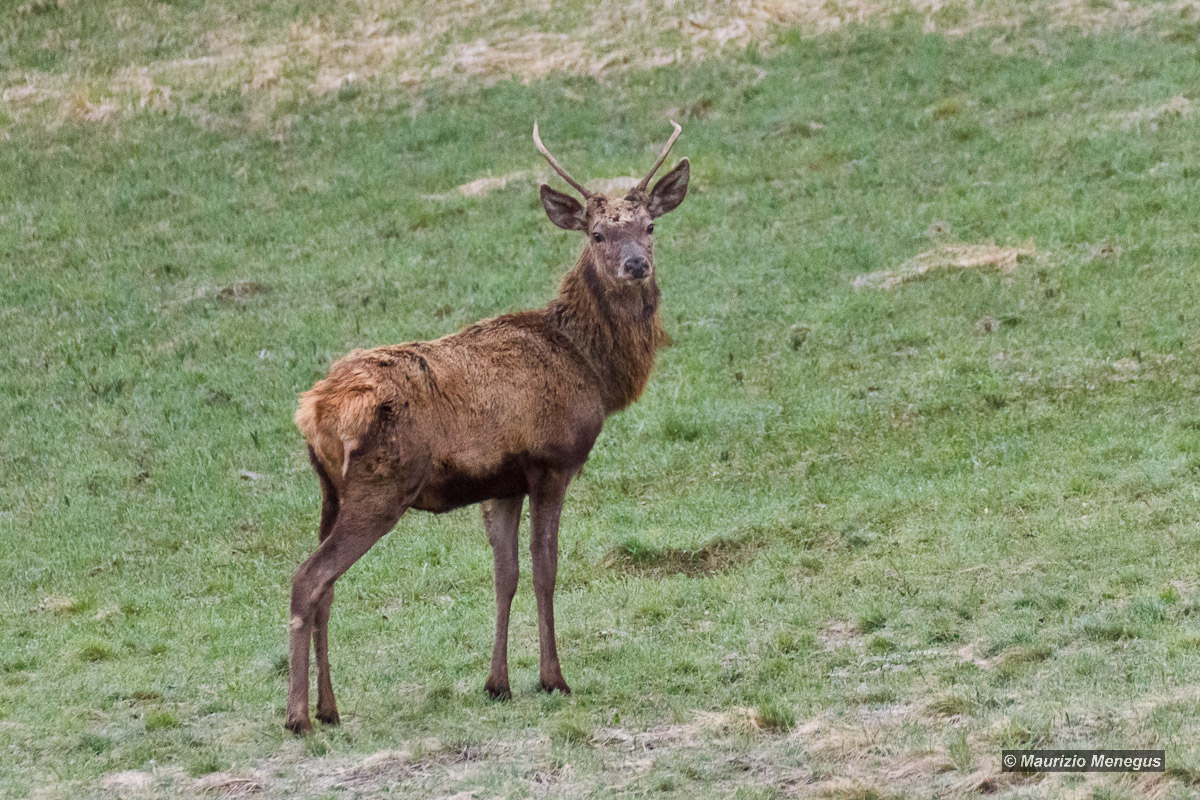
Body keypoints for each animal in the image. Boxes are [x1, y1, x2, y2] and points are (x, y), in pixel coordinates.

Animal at [285, 120, 690, 733]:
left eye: (649, 226)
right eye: (597, 234)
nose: (636, 265)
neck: (591, 369)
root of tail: (312, 409)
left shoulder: (501, 483)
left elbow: (506, 575)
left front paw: (497, 683)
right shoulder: (551, 462)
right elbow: (546, 569)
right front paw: (553, 678)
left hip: (330, 491)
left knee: (325, 586)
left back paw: (330, 710)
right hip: (380, 486)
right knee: (308, 579)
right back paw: (296, 717)